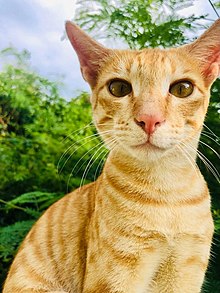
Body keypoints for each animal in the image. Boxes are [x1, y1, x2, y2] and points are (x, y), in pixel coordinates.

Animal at [3, 18, 220, 292]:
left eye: (182, 89)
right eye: (118, 88)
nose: (149, 119)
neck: (166, 194)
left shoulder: (186, 269)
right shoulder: (115, 276)